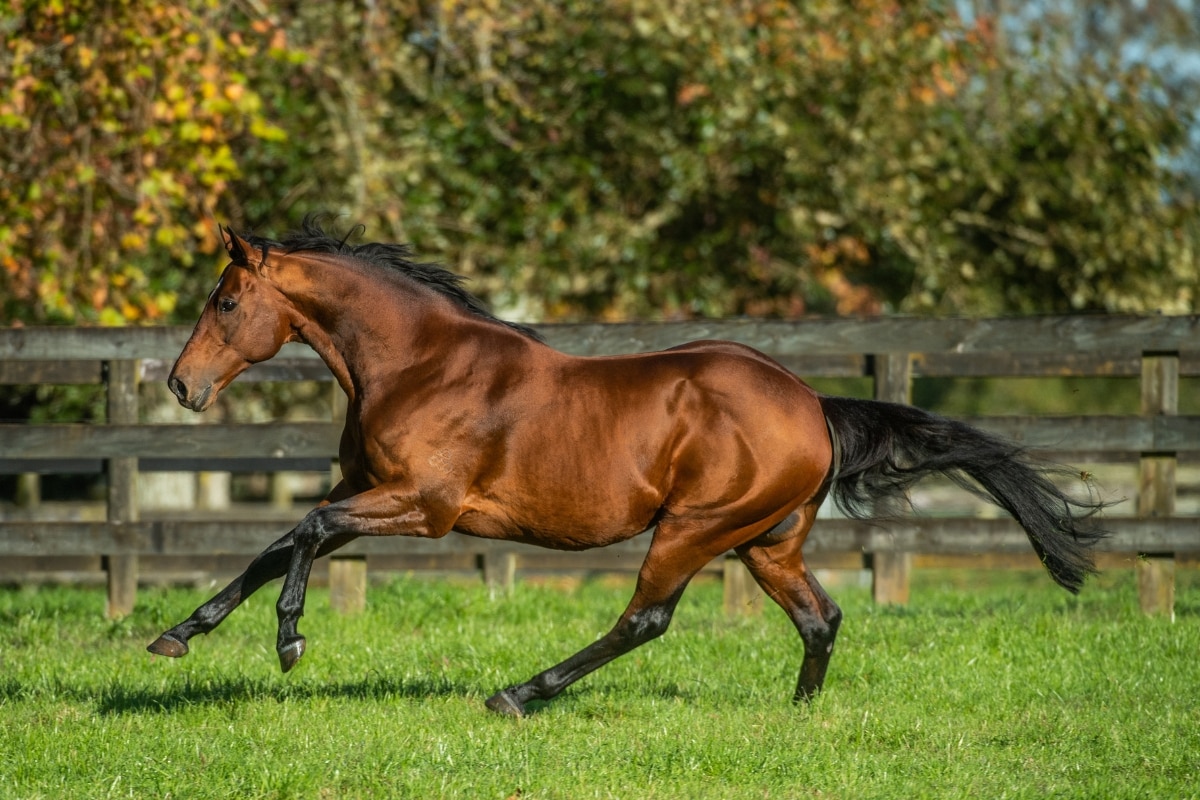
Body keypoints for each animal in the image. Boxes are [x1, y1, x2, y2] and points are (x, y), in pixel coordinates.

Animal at [149, 218, 1108, 716]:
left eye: (225, 301)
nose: (181, 384)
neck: (419, 362)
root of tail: (811, 403)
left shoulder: (423, 506)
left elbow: (303, 532)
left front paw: (290, 641)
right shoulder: (367, 491)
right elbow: (276, 542)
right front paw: (178, 634)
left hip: (693, 529)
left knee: (645, 619)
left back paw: (518, 694)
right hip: (767, 542)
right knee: (821, 616)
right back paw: (798, 714)